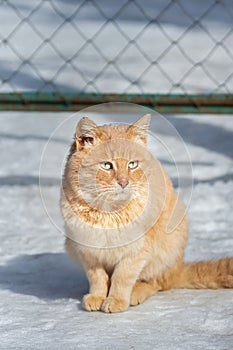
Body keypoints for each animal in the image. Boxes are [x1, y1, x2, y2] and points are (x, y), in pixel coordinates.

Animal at [60, 115, 233, 314]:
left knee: (157, 282)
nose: (124, 182)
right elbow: (98, 277)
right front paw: (97, 296)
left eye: (132, 164)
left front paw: (117, 299)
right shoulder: (87, 252)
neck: (109, 212)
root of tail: (178, 267)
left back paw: (136, 292)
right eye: (106, 165)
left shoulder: (136, 252)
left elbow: (122, 277)